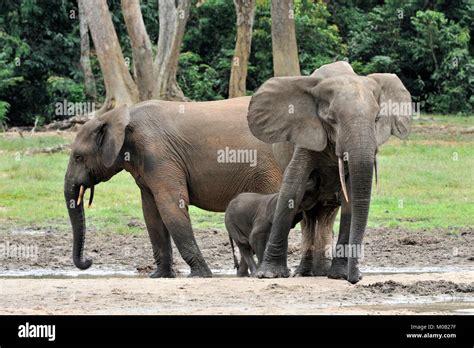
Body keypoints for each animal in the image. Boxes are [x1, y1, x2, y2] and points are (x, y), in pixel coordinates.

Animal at [246, 61, 412, 282]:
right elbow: (292, 187)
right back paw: (304, 273)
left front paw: (340, 275)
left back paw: (322, 272)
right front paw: (270, 274)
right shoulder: (306, 133)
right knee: (308, 215)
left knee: (327, 212)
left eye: (377, 118)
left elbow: (351, 196)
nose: (356, 278)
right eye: (332, 119)